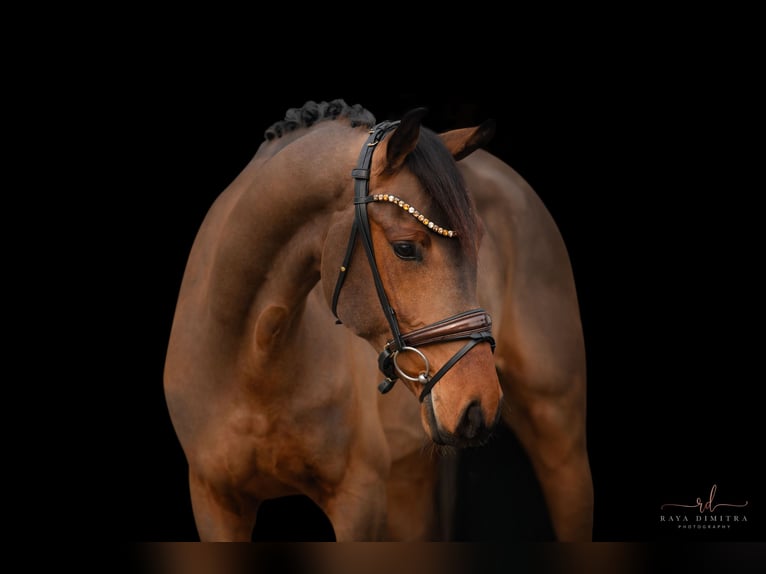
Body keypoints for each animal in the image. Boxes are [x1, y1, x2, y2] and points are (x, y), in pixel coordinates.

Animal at [164, 97, 592, 544]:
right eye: (405, 248)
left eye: (479, 242)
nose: (479, 405)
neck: (253, 356)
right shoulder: (215, 502)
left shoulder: (359, 498)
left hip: (559, 438)